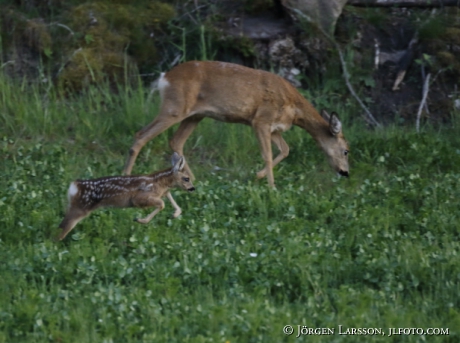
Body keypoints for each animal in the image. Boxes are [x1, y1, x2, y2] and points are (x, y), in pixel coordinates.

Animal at [57, 153, 194, 242]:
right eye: (186, 178)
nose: (192, 188)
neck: (159, 182)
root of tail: (75, 186)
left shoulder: (163, 192)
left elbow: (168, 197)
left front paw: (175, 214)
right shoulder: (138, 198)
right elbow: (162, 204)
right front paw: (140, 220)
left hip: (73, 205)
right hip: (81, 207)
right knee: (62, 228)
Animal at [122, 60, 348, 187]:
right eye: (346, 150)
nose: (345, 172)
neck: (294, 109)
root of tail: (164, 77)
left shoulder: (273, 127)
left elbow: (285, 150)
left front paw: (258, 176)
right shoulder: (260, 120)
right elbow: (268, 155)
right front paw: (272, 188)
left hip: (195, 115)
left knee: (176, 141)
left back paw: (191, 179)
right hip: (175, 108)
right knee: (141, 135)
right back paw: (126, 176)